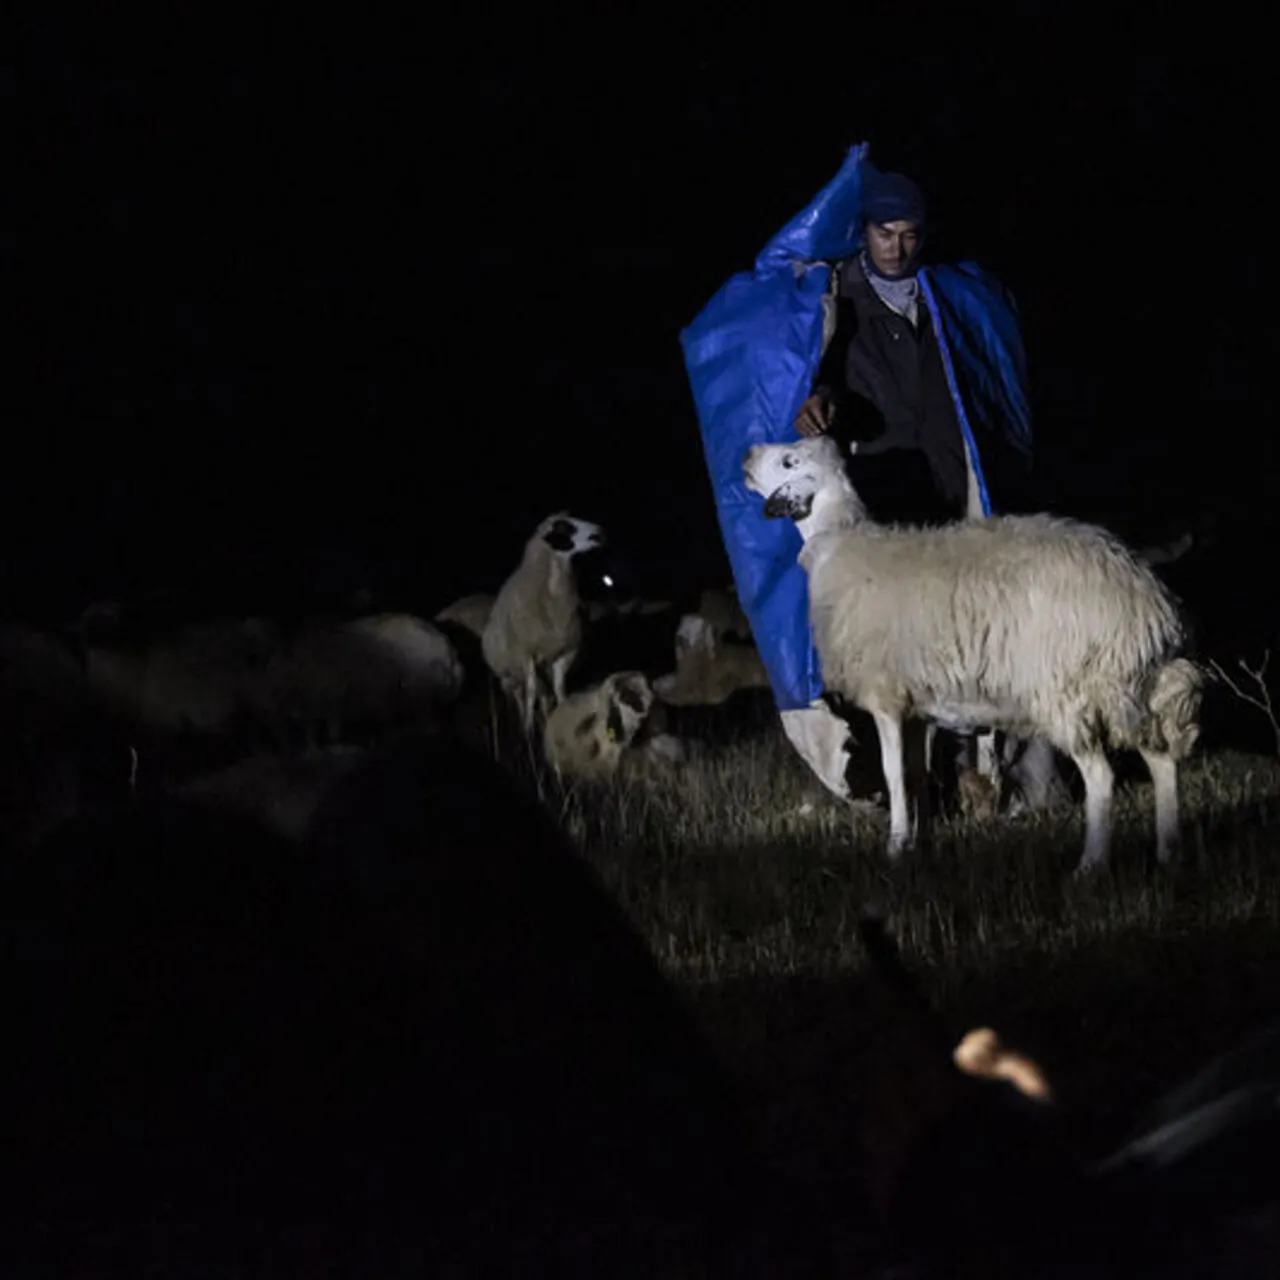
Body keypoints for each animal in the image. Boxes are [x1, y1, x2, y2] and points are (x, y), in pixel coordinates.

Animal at [481, 509, 604, 732]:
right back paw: (522, 724)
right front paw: (528, 728)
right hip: (508, 678)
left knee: (545, 697)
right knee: (521, 698)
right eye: (563, 527)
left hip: (539, 672)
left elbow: (560, 689)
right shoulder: (526, 655)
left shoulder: (566, 652)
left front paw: (563, 716)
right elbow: (530, 695)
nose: (600, 533)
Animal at [742, 435, 1198, 875]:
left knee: (1101, 777)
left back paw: (1091, 865)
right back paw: (1169, 851)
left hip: (1069, 690)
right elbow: (917, 774)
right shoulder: (916, 706)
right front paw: (922, 846)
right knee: (1161, 759)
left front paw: (894, 848)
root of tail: (1146, 601)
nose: (747, 456)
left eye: (788, 461)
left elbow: (892, 773)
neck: (838, 543)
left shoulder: (885, 694)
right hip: (1131, 689)